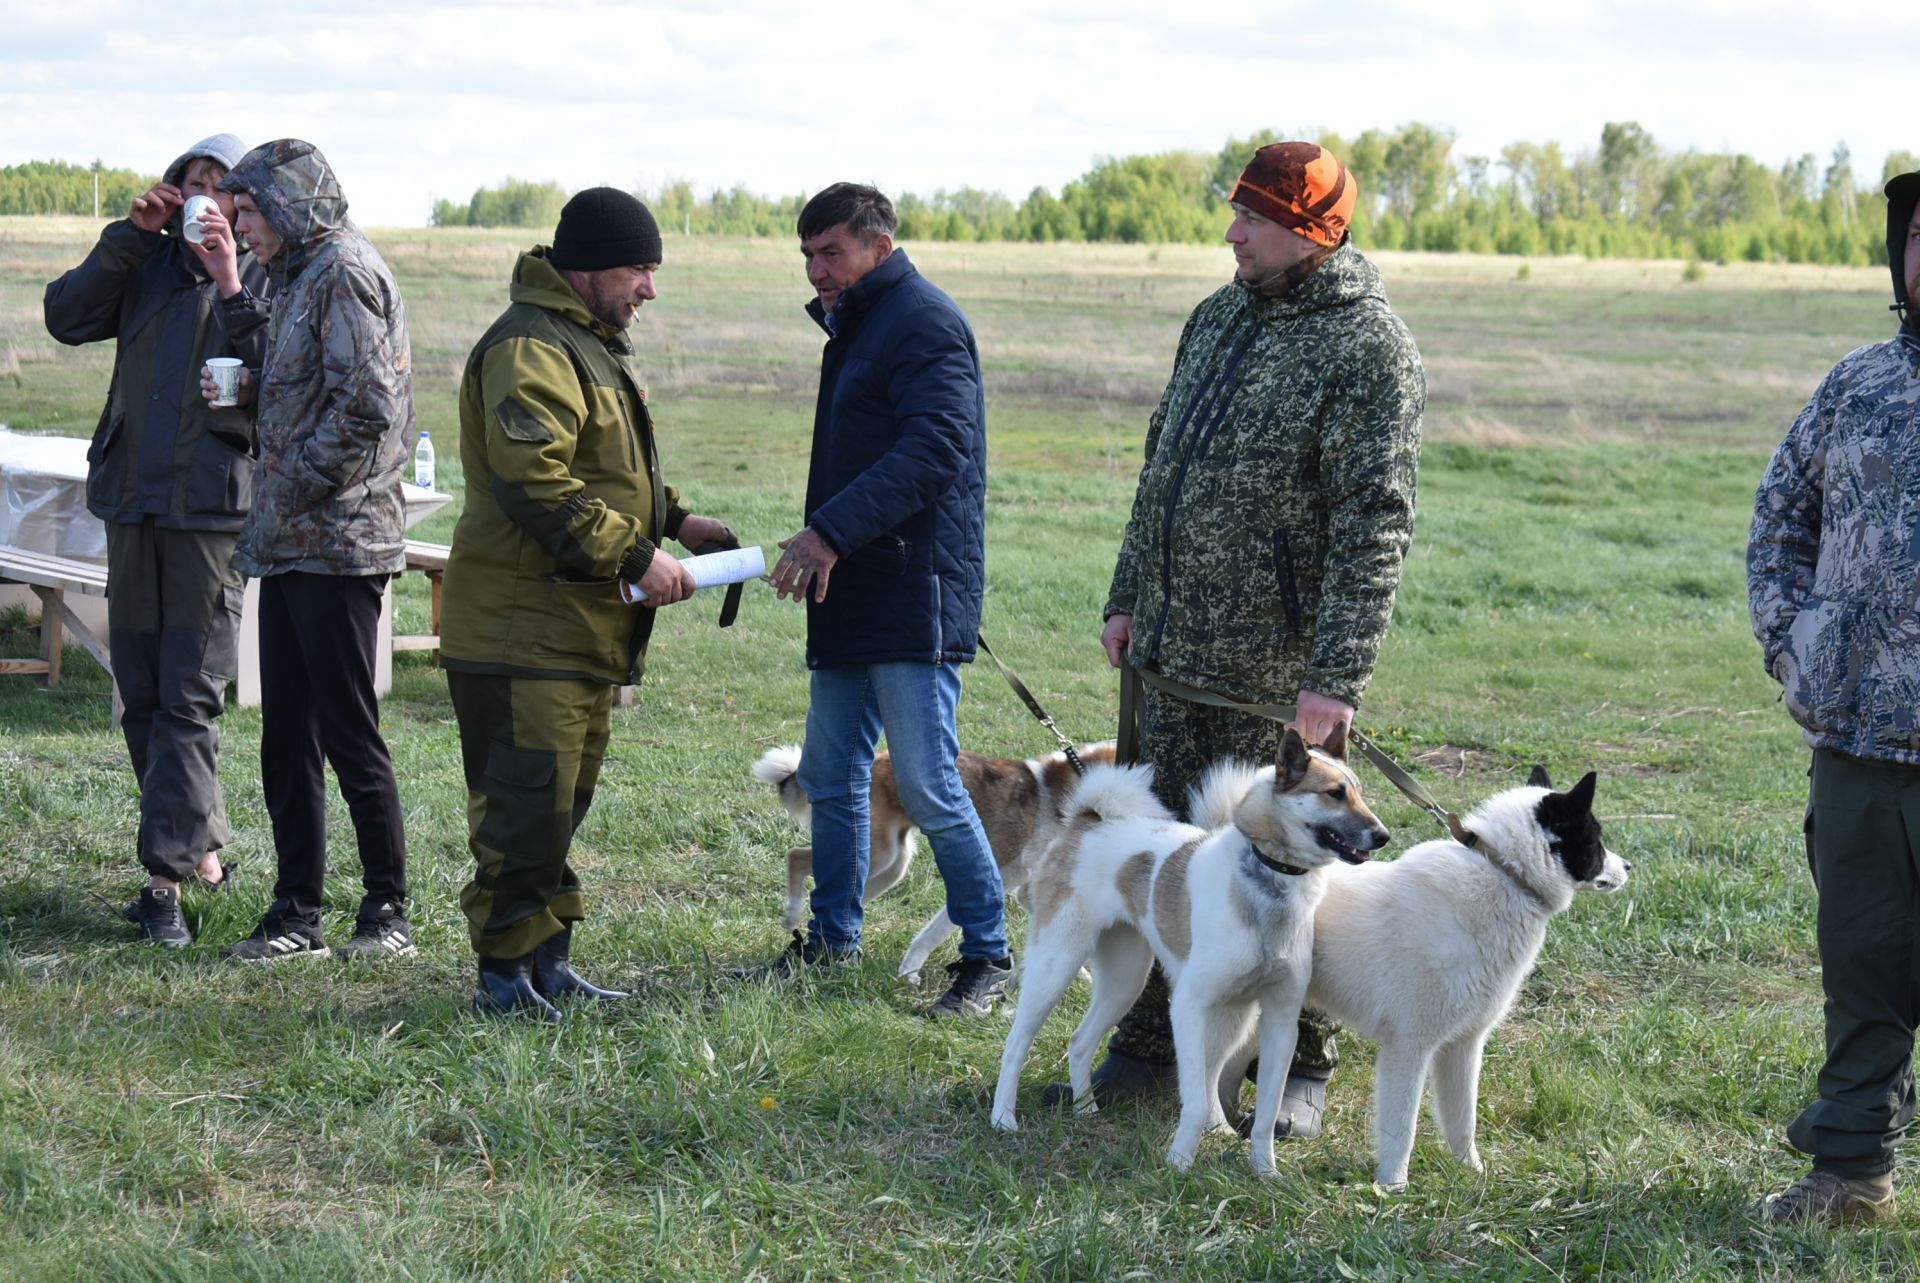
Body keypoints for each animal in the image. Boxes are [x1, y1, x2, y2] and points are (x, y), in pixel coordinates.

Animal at [744, 737, 1113, 975]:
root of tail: (873, 760)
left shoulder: (1028, 888)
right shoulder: (1000, 874)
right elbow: (938, 930)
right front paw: (909, 971)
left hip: (892, 864)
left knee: (846, 895)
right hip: (878, 853)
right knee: (796, 856)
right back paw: (793, 916)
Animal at [990, 722, 1382, 1175]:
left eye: (1360, 793)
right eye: (1334, 793)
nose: (1383, 835)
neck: (1269, 880)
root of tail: (1088, 821)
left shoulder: (1281, 1021)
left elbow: (1266, 1114)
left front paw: (1265, 1171)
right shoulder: (1189, 1008)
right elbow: (1194, 1100)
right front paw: (1179, 1163)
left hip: (1131, 984)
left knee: (1080, 1042)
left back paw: (1086, 1109)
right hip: (1056, 966)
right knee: (1016, 1044)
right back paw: (1003, 1118)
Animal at [1297, 760, 1628, 1190]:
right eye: (1597, 839)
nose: (1629, 866)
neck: (1505, 874)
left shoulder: (1464, 1046)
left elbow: (1462, 1120)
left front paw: (1472, 1173)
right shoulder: (1409, 1047)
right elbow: (1401, 1127)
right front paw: (1393, 1186)